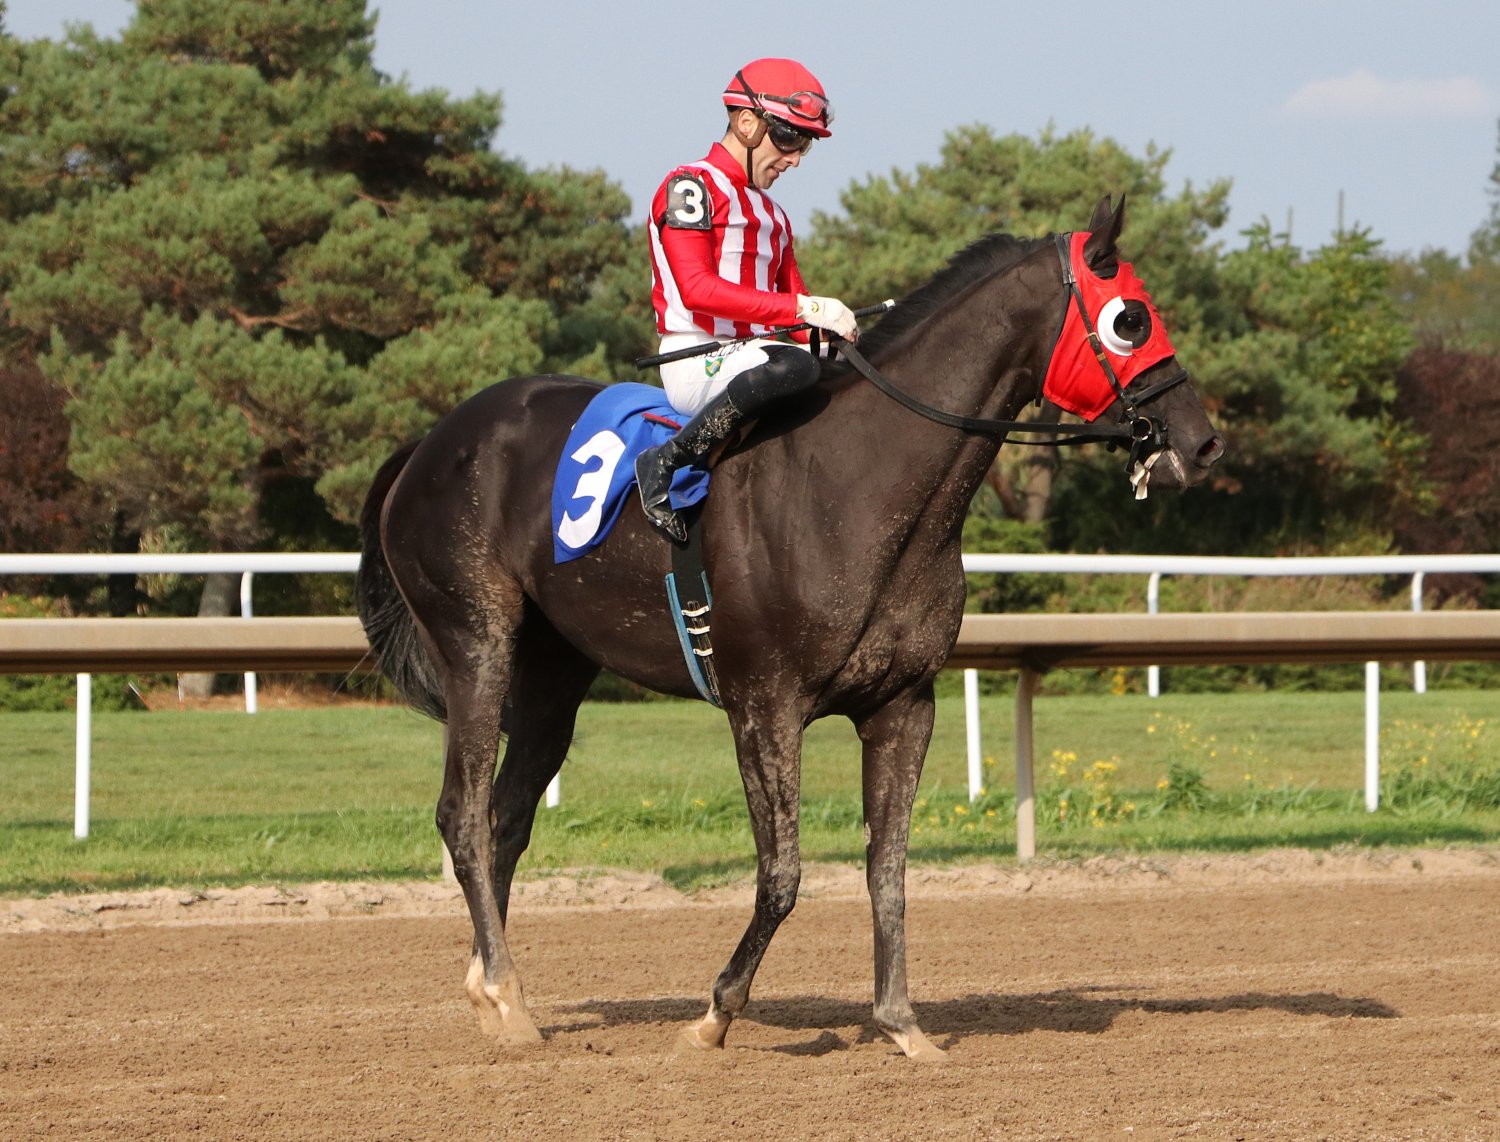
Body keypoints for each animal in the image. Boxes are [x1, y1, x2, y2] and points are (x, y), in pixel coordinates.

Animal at [355, 196, 1225, 1062]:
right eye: (1130, 319)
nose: (1202, 441)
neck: (857, 482)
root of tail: (430, 442)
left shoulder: (903, 706)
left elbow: (889, 871)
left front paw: (903, 1023)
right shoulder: (764, 706)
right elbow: (782, 875)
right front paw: (714, 1015)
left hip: (554, 676)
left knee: (505, 818)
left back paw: (493, 987)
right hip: (477, 642)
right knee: (463, 815)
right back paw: (506, 996)